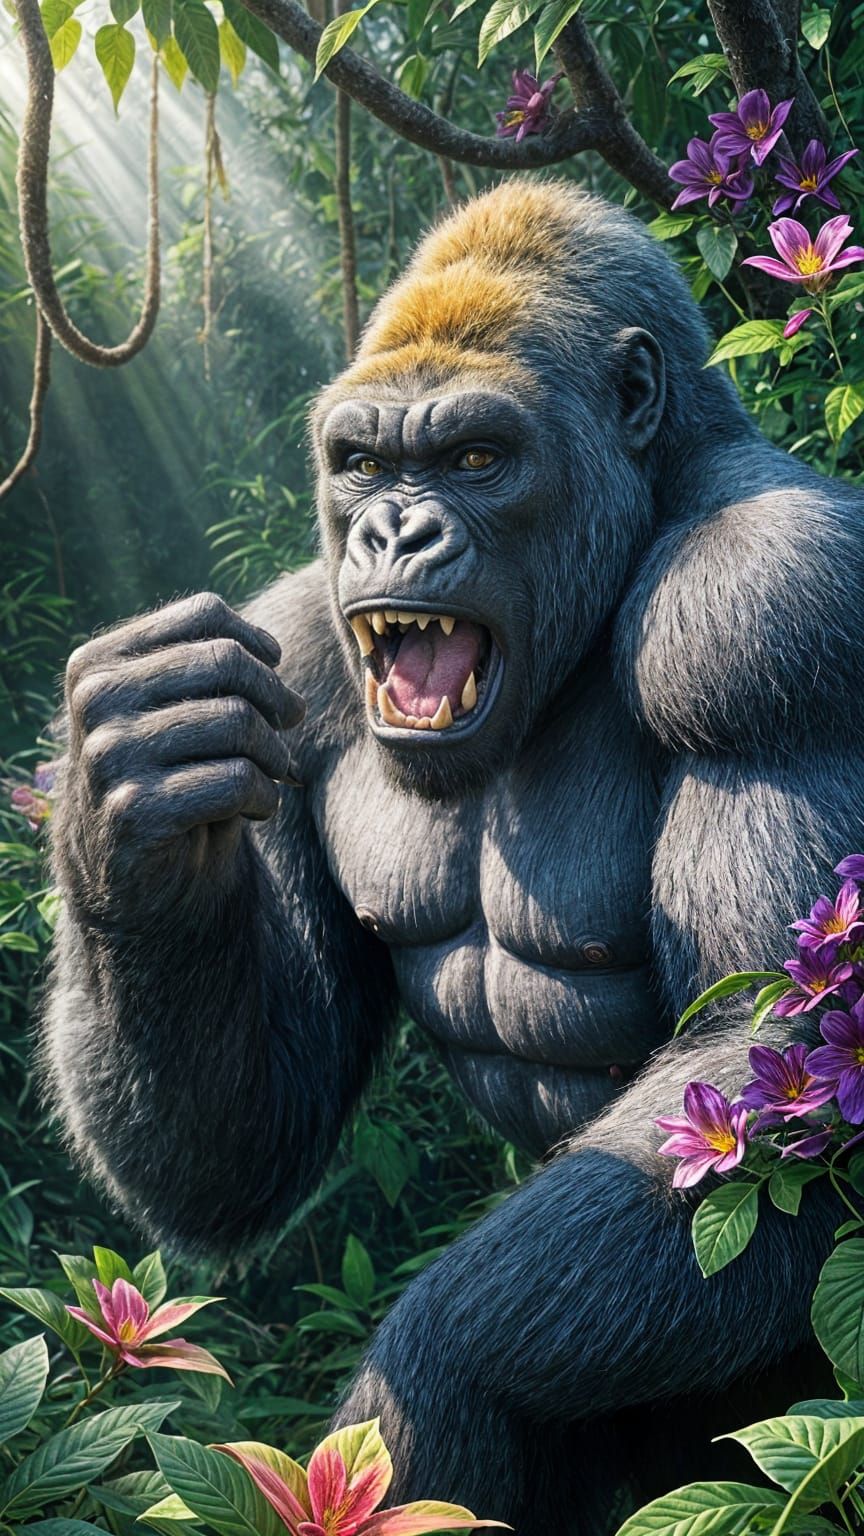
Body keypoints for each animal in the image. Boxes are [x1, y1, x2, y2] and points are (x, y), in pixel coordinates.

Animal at [42, 180, 864, 1534]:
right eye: (364, 462)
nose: (391, 530)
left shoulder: (775, 607)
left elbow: (790, 1045)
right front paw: (133, 809)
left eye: (478, 457)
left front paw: (428, 1377)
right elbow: (238, 1148)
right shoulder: (295, 646)